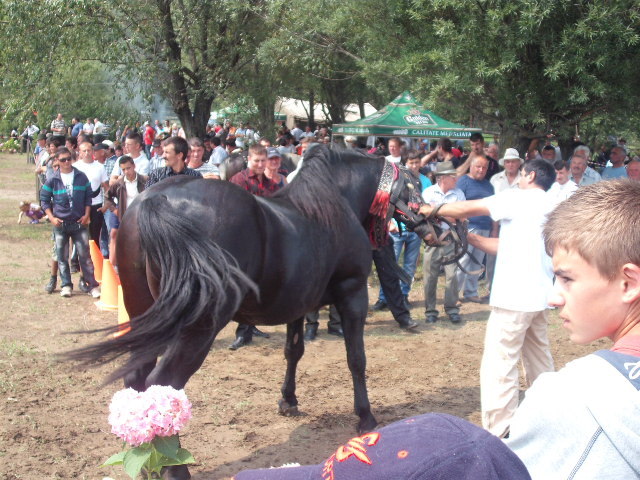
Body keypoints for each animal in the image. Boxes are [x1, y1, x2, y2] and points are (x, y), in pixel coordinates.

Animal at [71, 145, 430, 480]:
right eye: (414, 183)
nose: (429, 225)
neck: (333, 205)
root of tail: (154, 202)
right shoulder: (352, 293)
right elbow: (356, 359)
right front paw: (366, 417)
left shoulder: (297, 305)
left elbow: (293, 351)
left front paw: (288, 401)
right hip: (197, 328)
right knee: (162, 386)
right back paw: (174, 468)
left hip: (143, 313)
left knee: (136, 381)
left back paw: (145, 464)